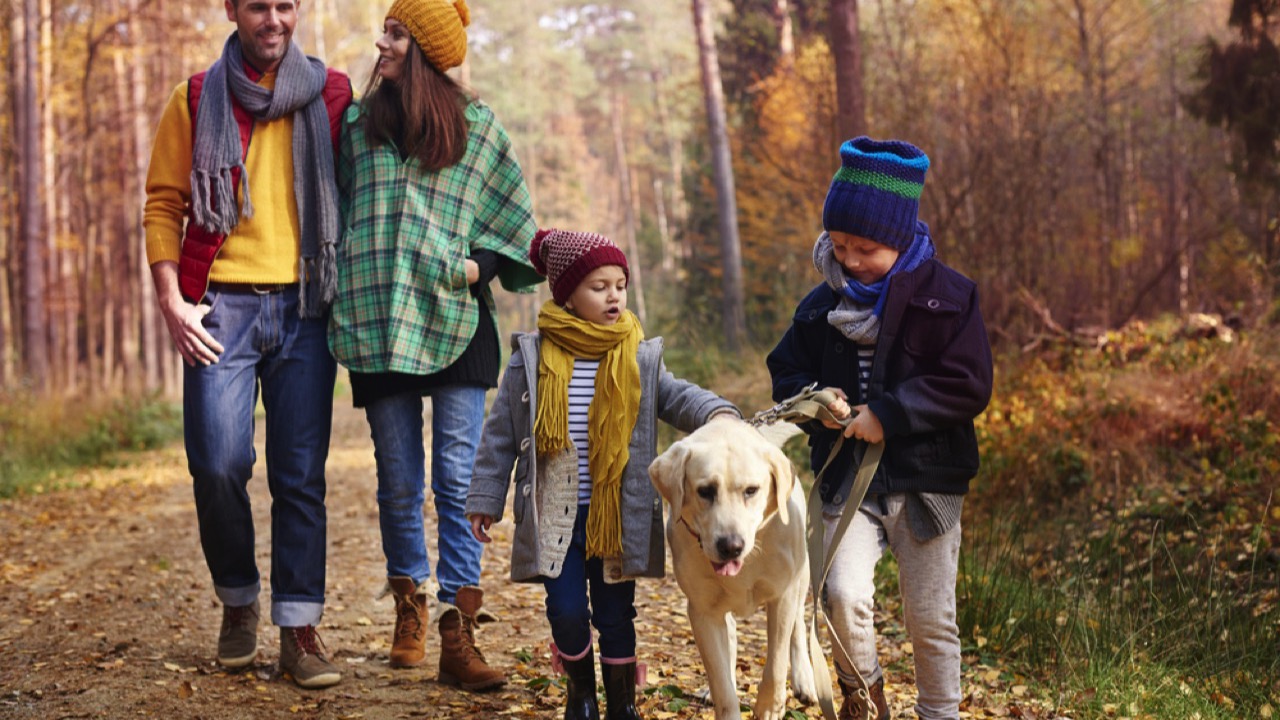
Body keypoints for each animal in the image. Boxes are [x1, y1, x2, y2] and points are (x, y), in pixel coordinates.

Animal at [650, 415, 819, 717]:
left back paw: (805, 681)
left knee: (798, 624)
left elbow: (776, 663)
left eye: (751, 491)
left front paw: (770, 707)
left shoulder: (782, 596)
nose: (730, 546)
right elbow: (721, 684)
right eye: (705, 491)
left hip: (802, 577)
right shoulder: (703, 612)